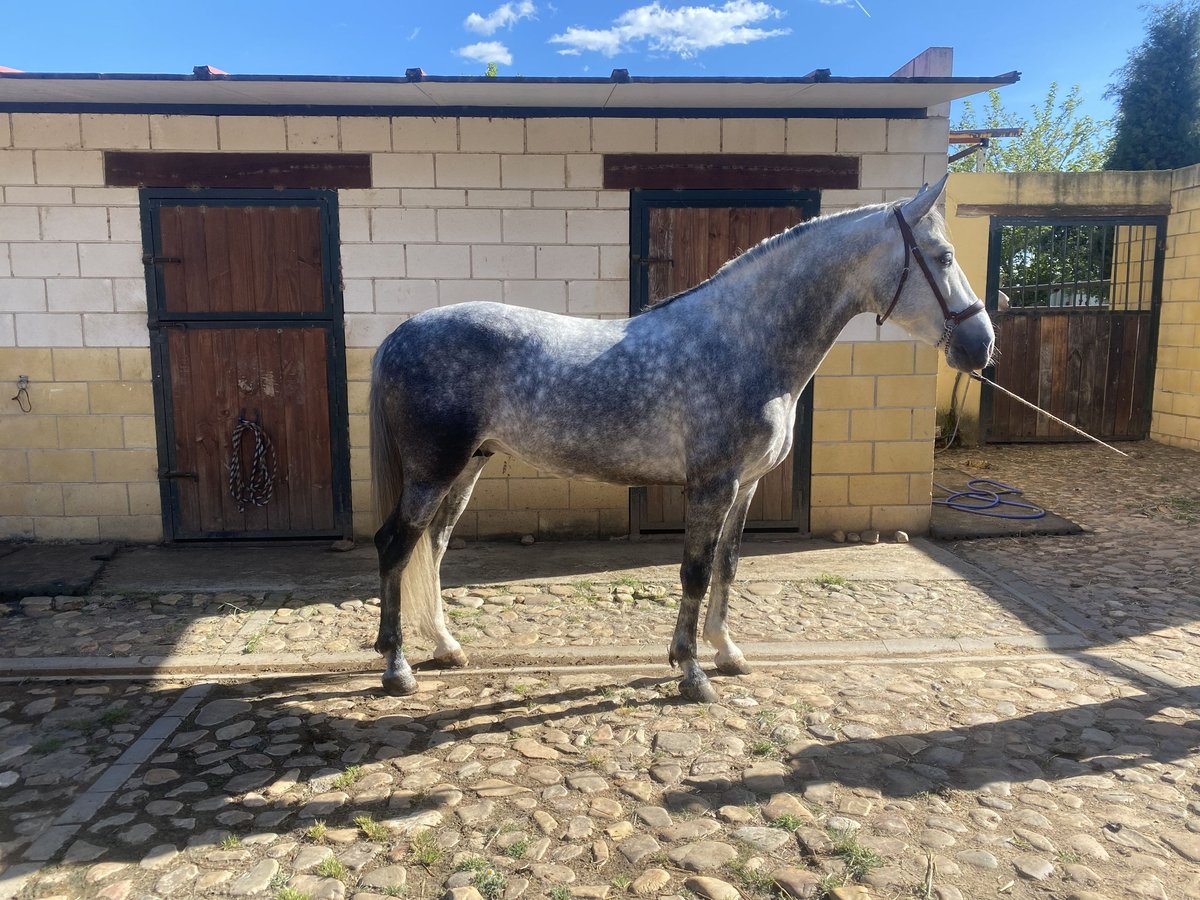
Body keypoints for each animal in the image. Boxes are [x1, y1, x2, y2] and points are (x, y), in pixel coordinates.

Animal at [364, 172, 993, 700]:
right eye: (943, 257)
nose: (981, 345)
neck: (741, 342)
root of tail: (401, 331)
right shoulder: (712, 484)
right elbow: (694, 570)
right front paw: (691, 671)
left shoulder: (745, 487)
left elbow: (728, 566)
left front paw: (728, 653)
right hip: (432, 470)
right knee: (395, 545)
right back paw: (397, 667)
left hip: (468, 465)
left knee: (433, 546)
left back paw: (447, 647)